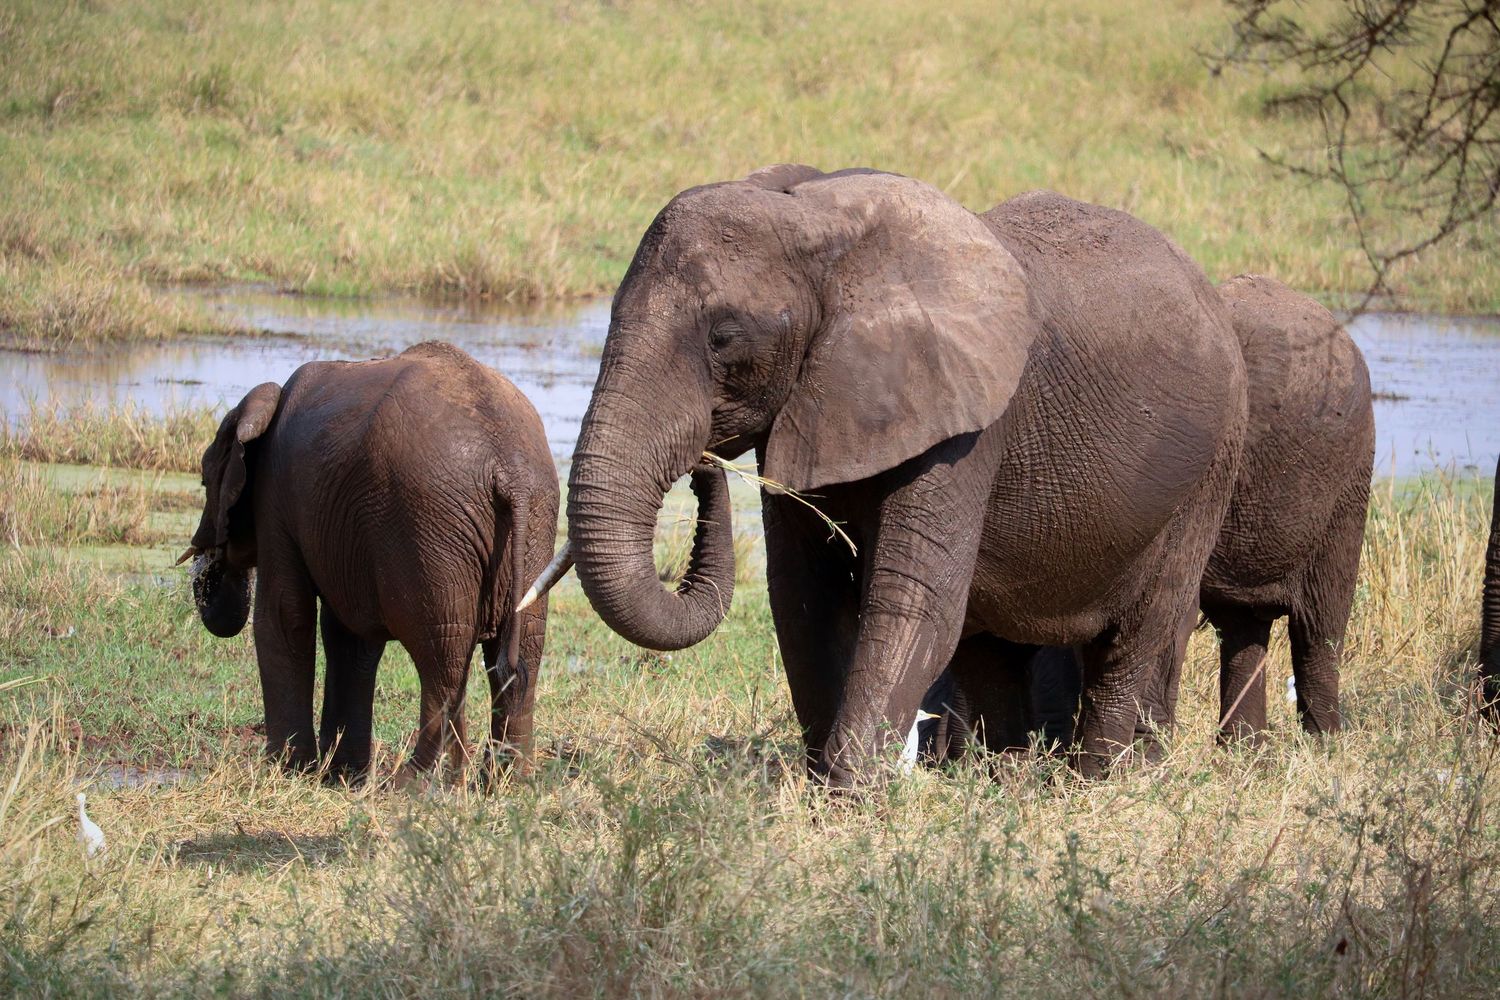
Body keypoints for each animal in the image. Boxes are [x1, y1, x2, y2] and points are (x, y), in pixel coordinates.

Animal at [180, 341, 558, 780]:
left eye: (204, 480)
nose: (209, 552)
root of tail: (508, 468)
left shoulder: (276, 499)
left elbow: (285, 617)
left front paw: (288, 771)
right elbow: (351, 638)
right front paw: (341, 776)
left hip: (428, 527)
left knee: (443, 654)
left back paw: (422, 783)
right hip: (533, 523)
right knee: (522, 651)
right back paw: (504, 782)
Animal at [541, 164, 1248, 784]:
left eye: (724, 337)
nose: (701, 465)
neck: (824, 228)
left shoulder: (966, 425)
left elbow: (911, 600)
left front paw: (847, 801)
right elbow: (804, 597)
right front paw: (822, 792)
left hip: (1210, 464)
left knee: (1143, 629)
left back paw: (1104, 782)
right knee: (993, 649)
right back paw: (1008, 784)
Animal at [924, 275, 1375, 758]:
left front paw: (1139, 756)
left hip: (1348, 482)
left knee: (1318, 627)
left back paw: (1324, 746)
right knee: (1242, 627)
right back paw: (1243, 751)